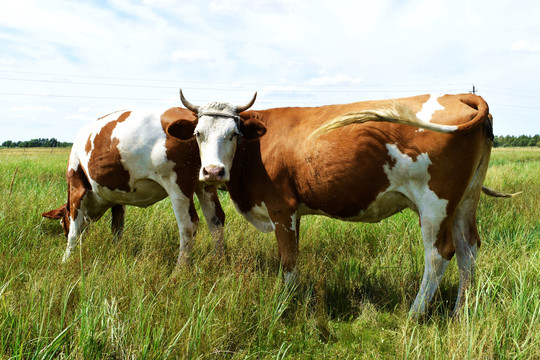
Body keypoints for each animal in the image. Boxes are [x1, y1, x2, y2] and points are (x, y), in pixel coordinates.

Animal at [41, 103, 256, 264]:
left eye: (62, 222)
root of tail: (192, 118)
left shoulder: (77, 186)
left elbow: (75, 230)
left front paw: (66, 259)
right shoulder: (118, 196)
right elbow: (117, 228)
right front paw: (117, 252)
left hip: (178, 185)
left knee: (189, 224)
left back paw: (180, 270)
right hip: (206, 181)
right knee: (216, 220)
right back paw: (220, 261)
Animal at [167, 90, 516, 318]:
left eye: (233, 134)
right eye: (197, 134)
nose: (213, 171)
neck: (257, 148)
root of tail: (460, 95)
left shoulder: (282, 207)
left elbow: (288, 259)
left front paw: (286, 305)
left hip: (434, 204)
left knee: (439, 254)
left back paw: (414, 315)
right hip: (465, 201)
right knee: (468, 249)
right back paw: (460, 313)